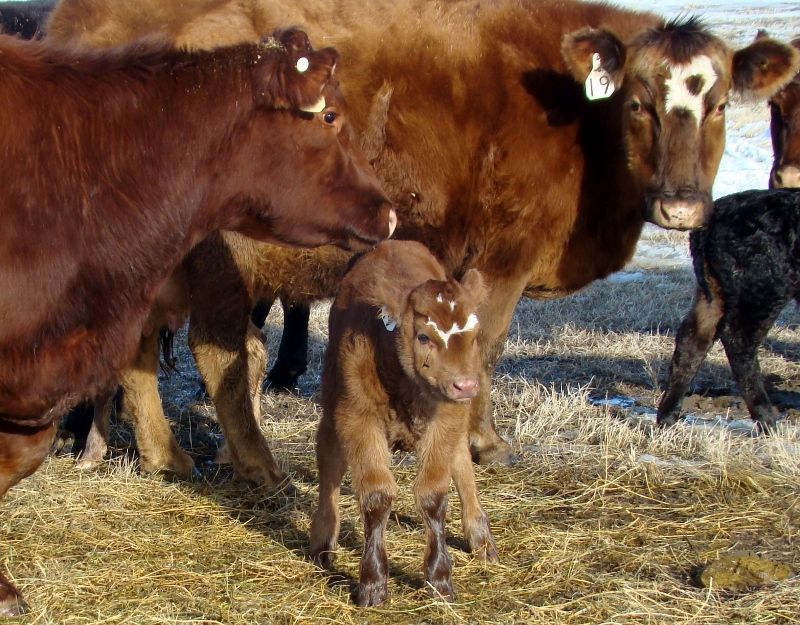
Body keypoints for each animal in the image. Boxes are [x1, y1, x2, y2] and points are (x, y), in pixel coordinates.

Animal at [309, 240, 497, 607]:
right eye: (423, 337)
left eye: (475, 334)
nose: (466, 385)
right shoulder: (357, 418)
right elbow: (376, 495)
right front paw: (372, 582)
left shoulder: (445, 419)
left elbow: (433, 494)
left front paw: (439, 577)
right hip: (333, 407)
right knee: (329, 463)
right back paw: (322, 541)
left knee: (462, 464)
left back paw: (480, 536)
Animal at [657, 189, 800, 432]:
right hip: (763, 288)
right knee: (738, 340)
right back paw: (767, 419)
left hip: (714, 292)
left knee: (693, 339)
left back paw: (666, 417)